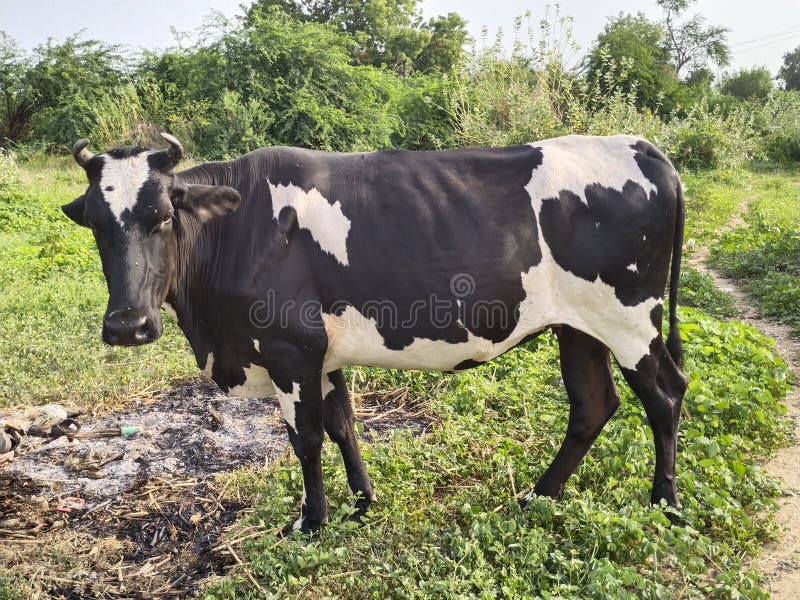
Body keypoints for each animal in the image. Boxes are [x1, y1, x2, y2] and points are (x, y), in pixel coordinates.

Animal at [62, 133, 687, 533]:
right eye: (93, 222)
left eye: (165, 215)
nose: (128, 325)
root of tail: (642, 145)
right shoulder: (322, 352)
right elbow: (343, 425)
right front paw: (363, 503)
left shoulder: (290, 350)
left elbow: (306, 439)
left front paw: (312, 521)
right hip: (578, 326)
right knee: (593, 404)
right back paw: (538, 495)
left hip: (631, 319)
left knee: (665, 395)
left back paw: (665, 505)